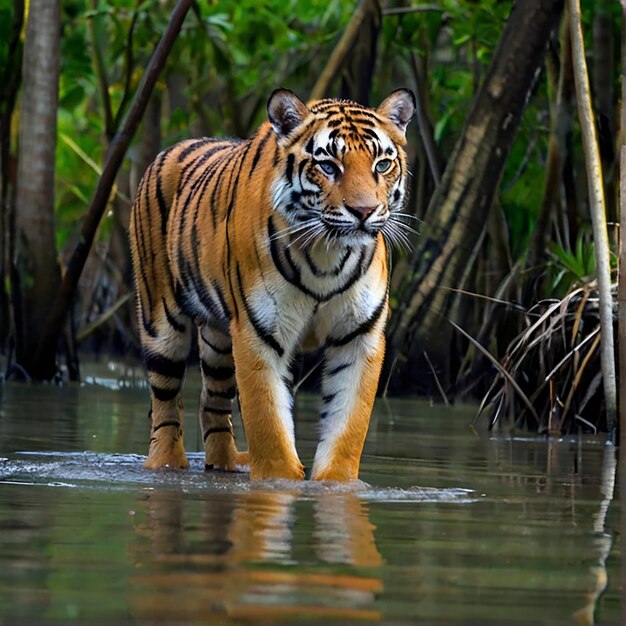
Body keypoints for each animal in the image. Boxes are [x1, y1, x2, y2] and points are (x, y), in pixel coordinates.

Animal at [130, 86, 414, 478]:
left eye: (382, 165)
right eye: (328, 166)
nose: (364, 211)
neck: (326, 256)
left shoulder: (358, 336)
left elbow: (347, 426)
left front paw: (336, 483)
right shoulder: (259, 332)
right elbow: (269, 424)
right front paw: (278, 482)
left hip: (218, 339)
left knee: (211, 399)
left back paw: (225, 463)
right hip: (162, 324)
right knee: (166, 402)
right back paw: (165, 464)